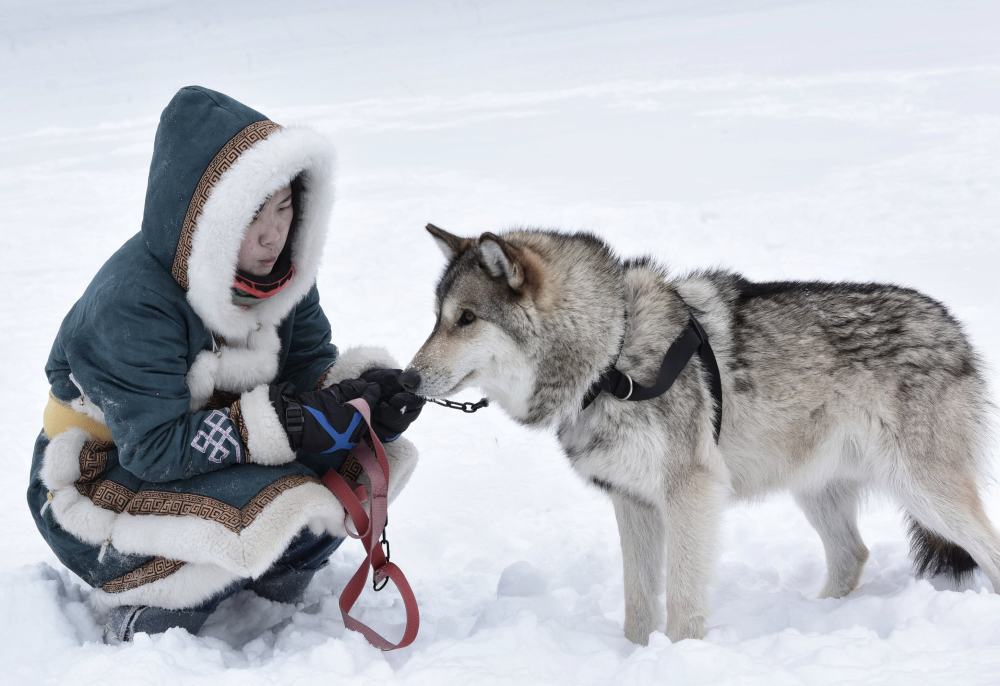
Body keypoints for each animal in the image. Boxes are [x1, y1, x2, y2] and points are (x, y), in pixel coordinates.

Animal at [406, 226, 1000, 644]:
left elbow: (683, 601)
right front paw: (634, 657)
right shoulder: (632, 501)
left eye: (466, 319)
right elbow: (638, 604)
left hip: (925, 491)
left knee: (987, 550)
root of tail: (952, 327)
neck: (612, 358)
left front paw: (679, 657)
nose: (408, 379)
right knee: (852, 555)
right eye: (437, 318)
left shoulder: (689, 493)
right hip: (817, 491)